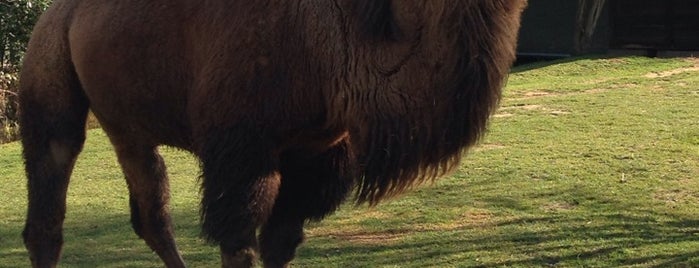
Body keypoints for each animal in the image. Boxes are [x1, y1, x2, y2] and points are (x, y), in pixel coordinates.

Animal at [19, 0, 528, 266]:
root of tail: (55, 12)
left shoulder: (318, 153)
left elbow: (281, 242)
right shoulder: (243, 148)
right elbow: (239, 242)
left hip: (127, 121)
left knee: (150, 205)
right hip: (47, 64)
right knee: (51, 182)